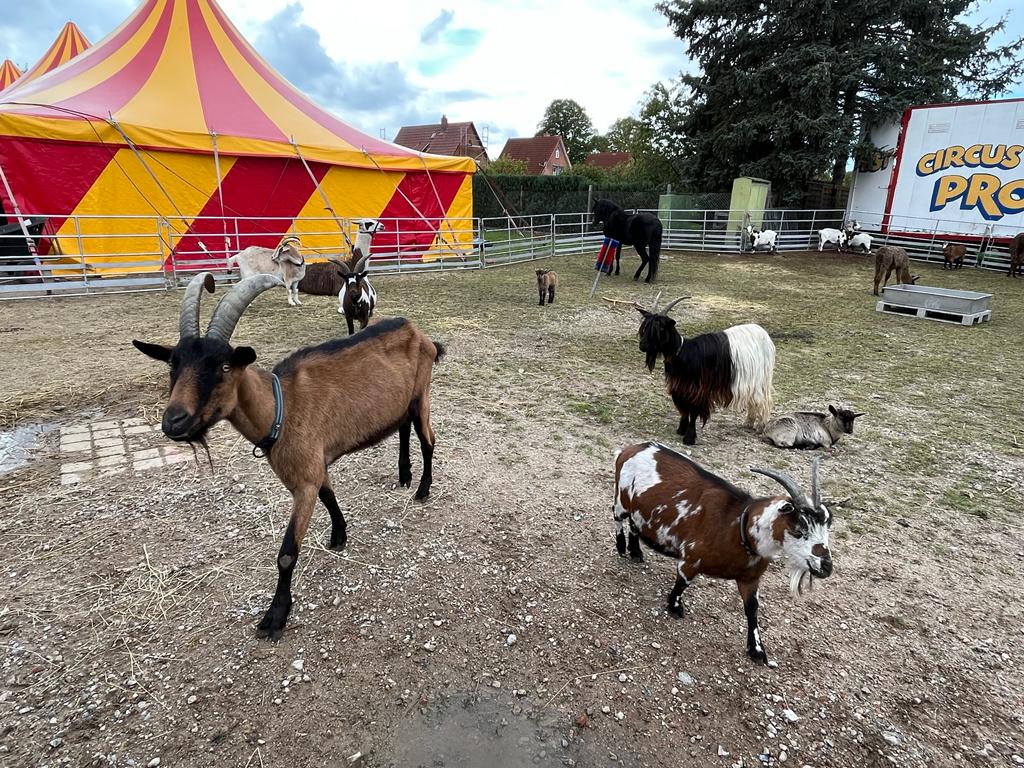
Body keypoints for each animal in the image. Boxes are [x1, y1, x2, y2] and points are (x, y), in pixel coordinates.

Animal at [132, 273, 444, 639]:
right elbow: (328, 496)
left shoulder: (304, 478)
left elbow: (286, 554)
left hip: (421, 394)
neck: (280, 407)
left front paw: (275, 616)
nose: (174, 421)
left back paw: (422, 489)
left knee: (428, 439)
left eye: (224, 366)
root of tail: (420, 333)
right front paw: (339, 536)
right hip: (400, 402)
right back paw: (404, 474)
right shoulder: (314, 466)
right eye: (173, 365)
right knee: (404, 429)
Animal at [613, 445, 833, 664]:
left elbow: (752, 609)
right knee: (618, 518)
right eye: (799, 530)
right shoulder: (690, 561)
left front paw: (757, 649)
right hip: (621, 501)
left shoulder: (750, 579)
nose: (826, 566)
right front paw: (674, 606)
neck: (738, 527)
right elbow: (682, 583)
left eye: (828, 525)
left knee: (634, 524)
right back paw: (622, 547)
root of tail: (630, 449)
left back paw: (636, 552)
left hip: (638, 510)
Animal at [634, 296, 775, 446]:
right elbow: (683, 410)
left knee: (764, 400)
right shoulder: (679, 388)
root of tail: (765, 335)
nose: (642, 346)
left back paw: (760, 426)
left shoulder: (698, 390)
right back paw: (749, 423)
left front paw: (689, 438)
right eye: (645, 327)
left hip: (762, 378)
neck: (683, 353)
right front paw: (681, 430)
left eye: (660, 328)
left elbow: (694, 412)